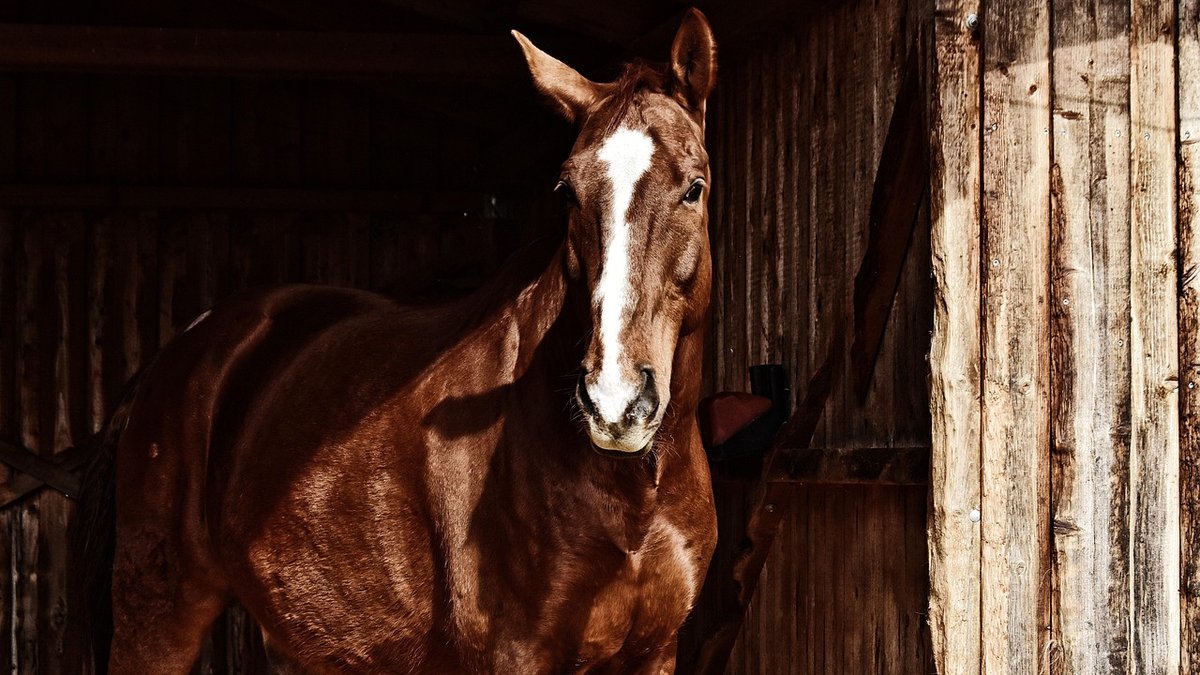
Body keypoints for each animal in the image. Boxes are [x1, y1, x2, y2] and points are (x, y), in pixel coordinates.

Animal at [79, 9, 719, 674]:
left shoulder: (655, 653)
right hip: (158, 622)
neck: (632, 497)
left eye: (694, 187)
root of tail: (182, 347)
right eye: (567, 191)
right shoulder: (516, 654)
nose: (614, 403)